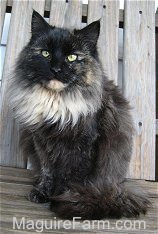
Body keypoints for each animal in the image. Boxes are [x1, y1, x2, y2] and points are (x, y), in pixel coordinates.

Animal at [10, 10, 150, 219]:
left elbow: (73, 178)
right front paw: (43, 193)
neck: (58, 102)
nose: (56, 69)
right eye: (45, 53)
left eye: (71, 57)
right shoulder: (42, 143)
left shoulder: (83, 146)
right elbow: (48, 171)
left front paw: (66, 197)